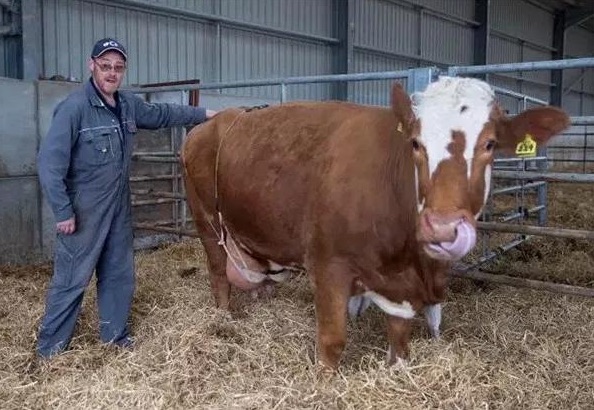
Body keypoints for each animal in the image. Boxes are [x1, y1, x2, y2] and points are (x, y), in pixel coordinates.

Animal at [180, 75, 568, 370]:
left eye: (490, 144)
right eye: (416, 143)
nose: (442, 228)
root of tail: (212, 122)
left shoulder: (402, 286)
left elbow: (399, 340)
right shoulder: (328, 264)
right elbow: (331, 344)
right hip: (206, 221)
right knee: (218, 275)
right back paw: (223, 318)